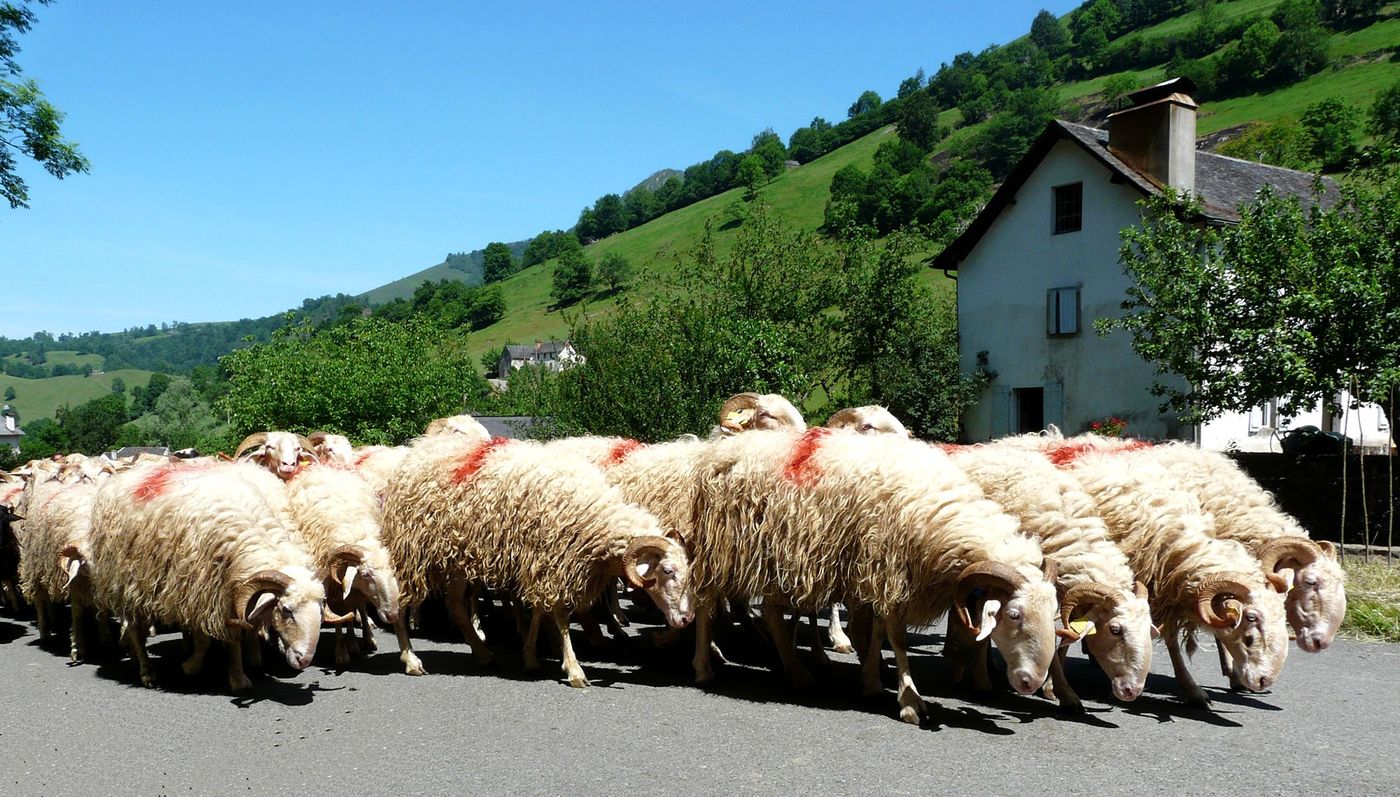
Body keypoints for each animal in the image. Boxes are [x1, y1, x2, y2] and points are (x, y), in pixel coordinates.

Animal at [87, 459, 332, 691]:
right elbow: (206, 640)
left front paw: (238, 674)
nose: (304, 659)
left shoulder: (230, 594)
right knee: (134, 628)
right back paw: (146, 671)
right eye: (286, 610)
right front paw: (193, 667)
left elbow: (236, 636)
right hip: (126, 581)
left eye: (321, 609)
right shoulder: (199, 594)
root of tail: (127, 474)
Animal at [381, 434, 695, 687]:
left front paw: (531, 656)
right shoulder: (552, 561)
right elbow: (558, 615)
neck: (592, 516)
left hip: (458, 559)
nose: (685, 619)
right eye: (667, 571)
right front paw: (574, 669)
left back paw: (482, 653)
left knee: (456, 605)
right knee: (404, 602)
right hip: (413, 553)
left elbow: (540, 613)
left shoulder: (542, 564)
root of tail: (419, 450)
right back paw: (411, 660)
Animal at [690, 428, 1061, 724]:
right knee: (706, 605)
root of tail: (723, 447)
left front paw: (870, 680)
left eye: (1051, 614)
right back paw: (704, 667)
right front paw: (909, 701)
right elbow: (895, 638)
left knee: (770, 612)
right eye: (1013, 615)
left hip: (775, 559)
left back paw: (797, 674)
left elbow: (879, 632)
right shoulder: (888, 570)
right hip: (720, 549)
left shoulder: (881, 575)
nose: (1030, 683)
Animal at [946, 442, 1157, 709]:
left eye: (1149, 630)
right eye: (1115, 630)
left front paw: (1055, 689)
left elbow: (1064, 639)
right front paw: (983, 682)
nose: (1132, 691)